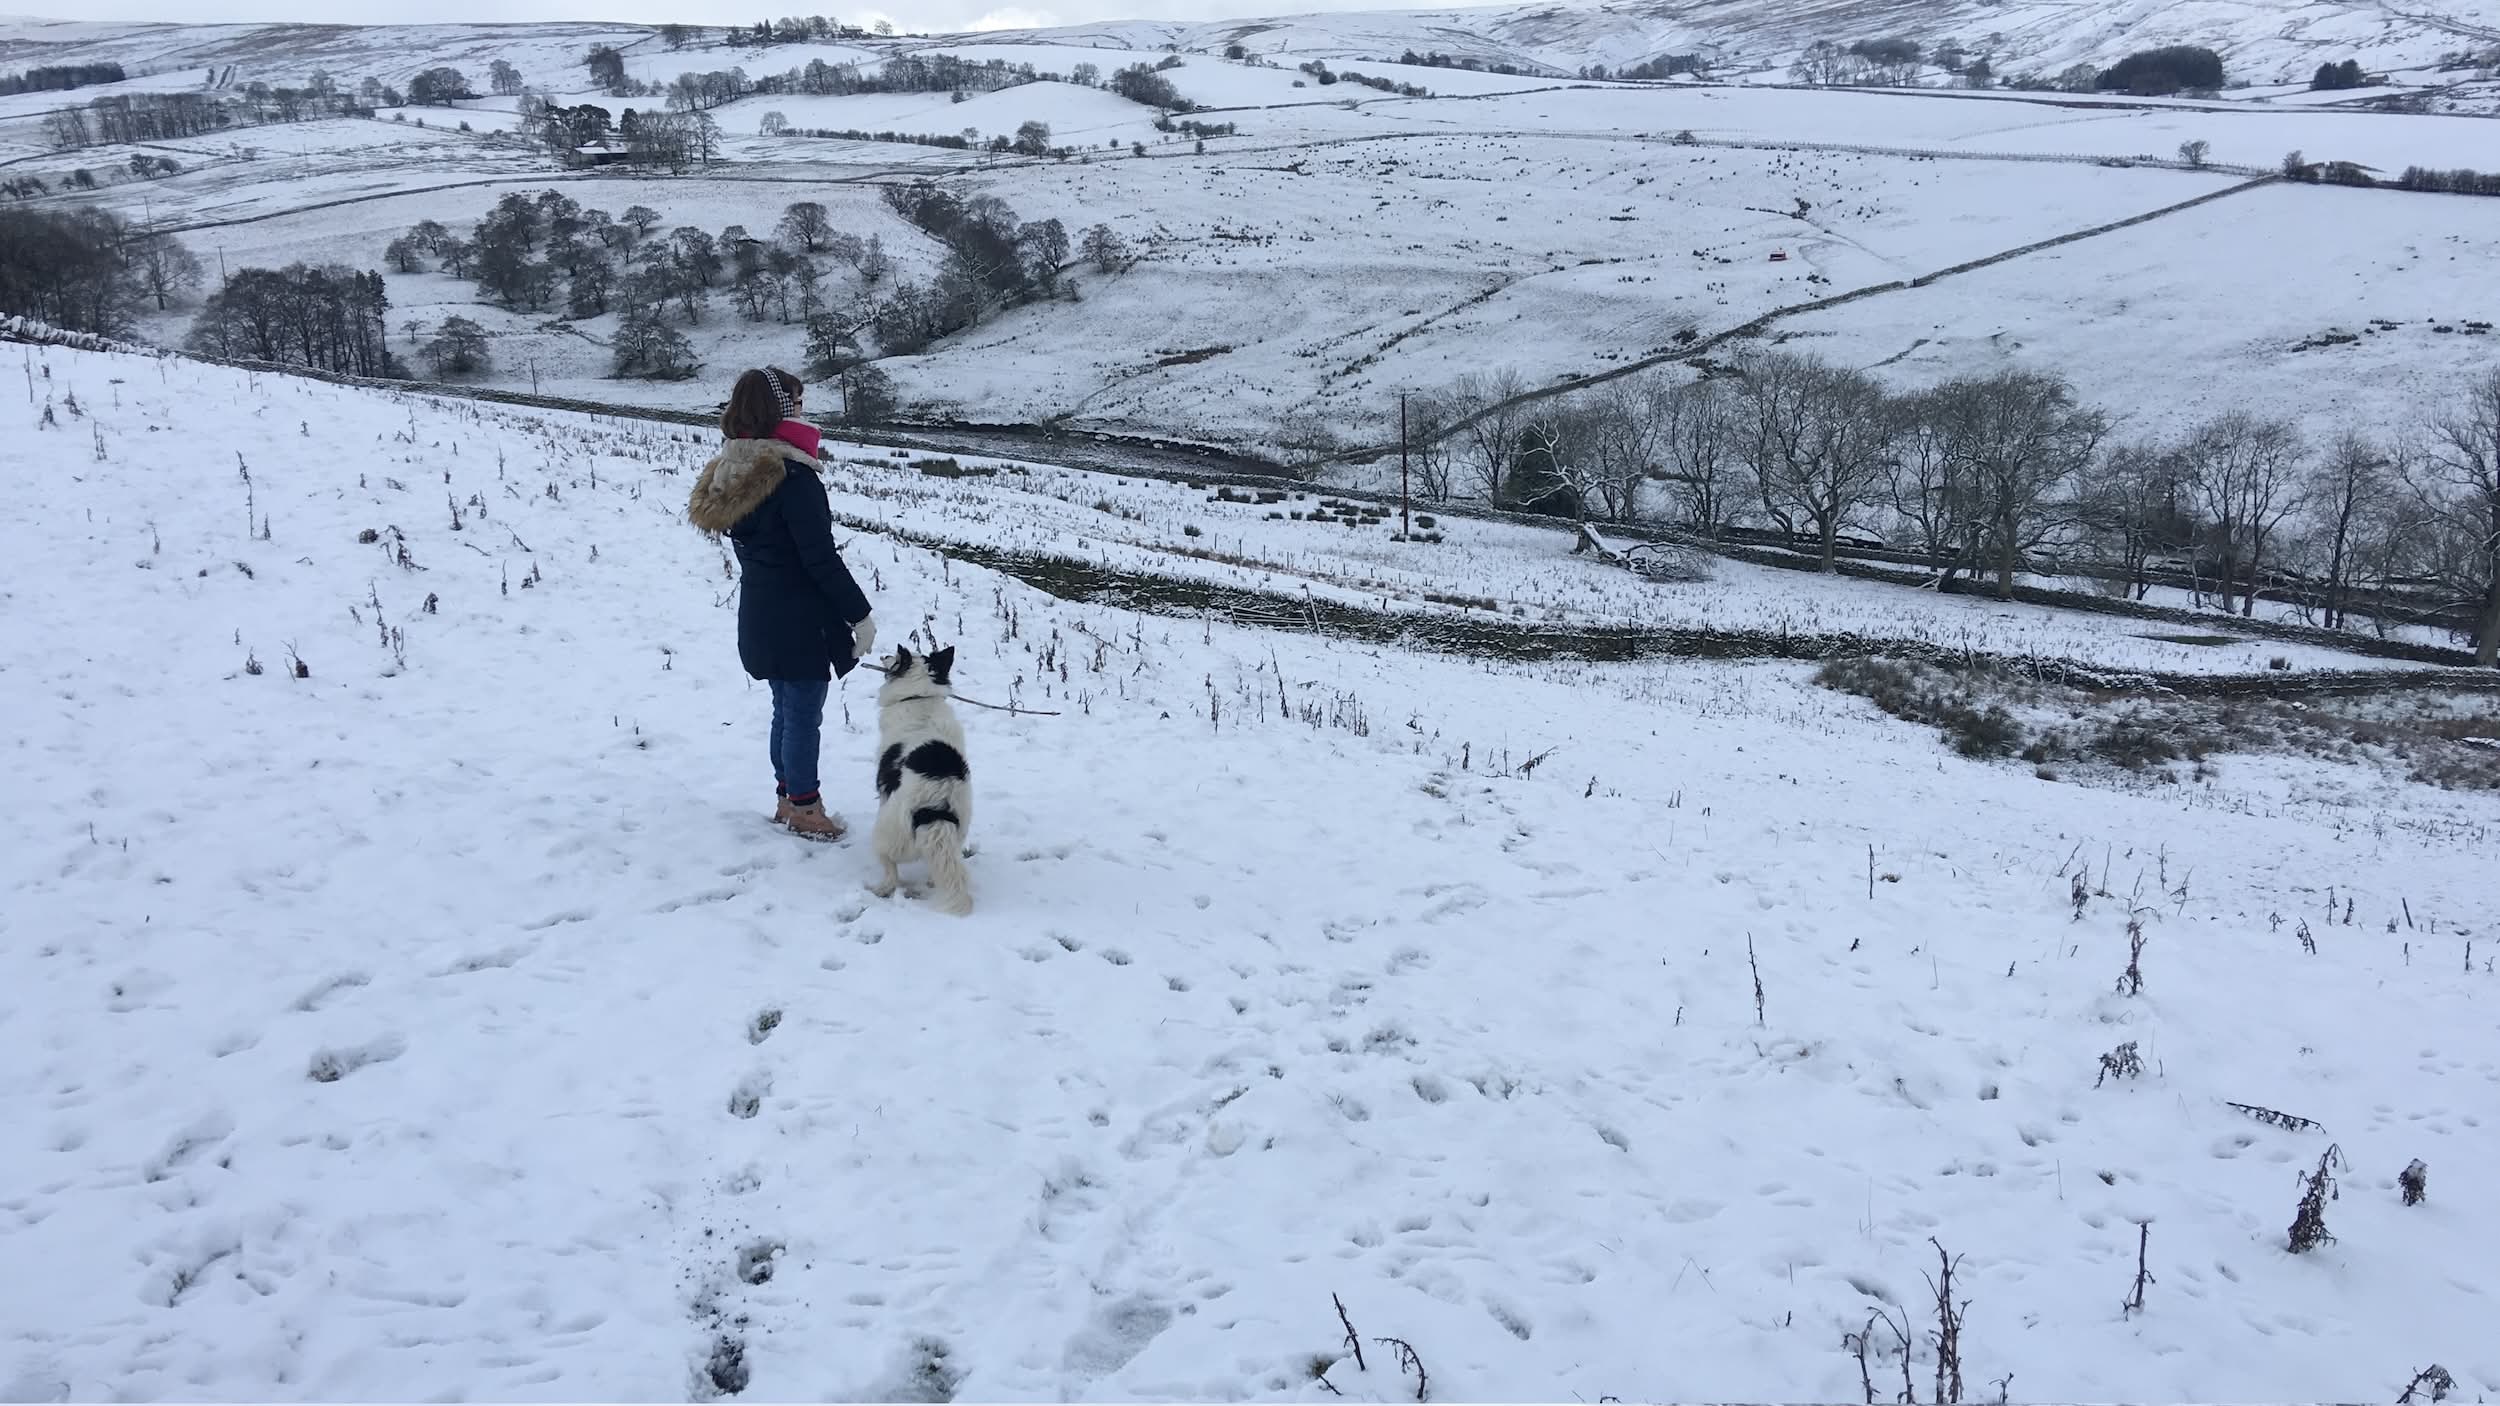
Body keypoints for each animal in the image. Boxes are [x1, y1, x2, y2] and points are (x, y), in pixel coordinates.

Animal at [867, 646, 974, 916]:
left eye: (895, 658)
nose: (883, 655)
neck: (918, 697)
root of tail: (934, 809)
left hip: (884, 836)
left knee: (890, 872)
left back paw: (879, 889)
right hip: (956, 835)